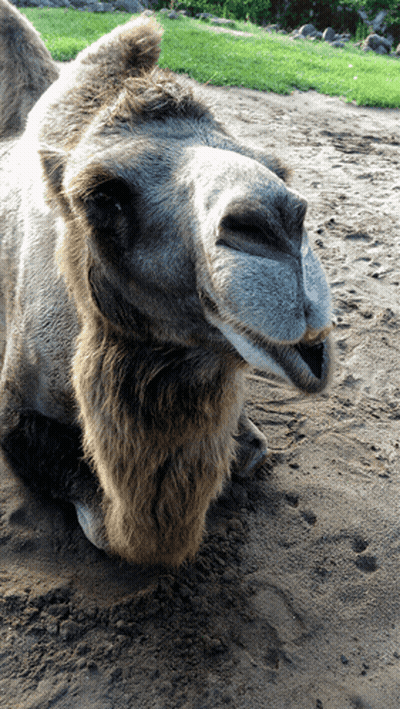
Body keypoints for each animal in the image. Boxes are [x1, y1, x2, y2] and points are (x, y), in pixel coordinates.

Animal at [0, 3, 334, 567]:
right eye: (102, 196)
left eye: (278, 169)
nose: (277, 225)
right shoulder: (12, 410)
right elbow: (103, 526)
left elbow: (249, 452)